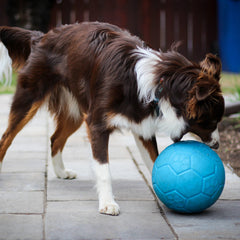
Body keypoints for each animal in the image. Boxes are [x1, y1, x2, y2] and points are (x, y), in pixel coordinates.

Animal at [0, 22, 225, 216]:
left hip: (75, 113)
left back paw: (61, 171)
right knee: (6, 138)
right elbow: (103, 169)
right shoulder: (97, 124)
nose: (217, 146)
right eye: (211, 122)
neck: (160, 84)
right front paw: (108, 203)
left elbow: (155, 162)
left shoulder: (142, 125)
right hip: (29, 100)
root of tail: (41, 36)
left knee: (55, 139)